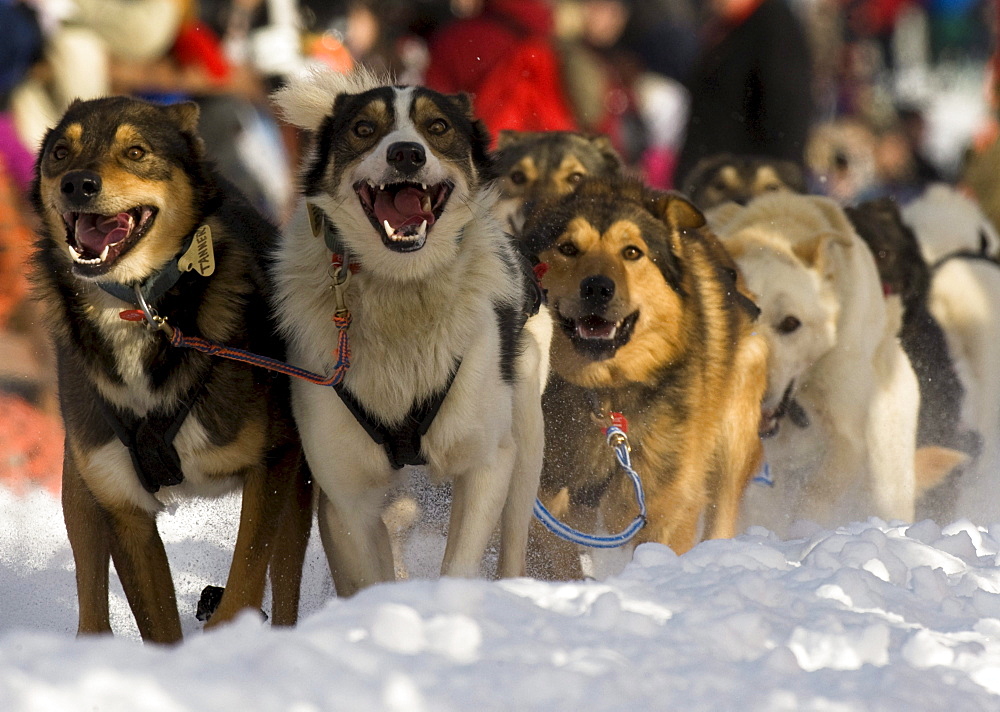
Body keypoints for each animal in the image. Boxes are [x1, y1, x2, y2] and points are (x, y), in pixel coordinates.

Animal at [31, 96, 310, 644]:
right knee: (91, 605)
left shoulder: (275, 462)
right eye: (59, 152)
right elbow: (158, 625)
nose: (77, 183)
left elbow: (244, 585)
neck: (138, 308)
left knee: (286, 587)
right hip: (81, 485)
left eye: (136, 151)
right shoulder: (124, 506)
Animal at [270, 68, 552, 596]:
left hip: (525, 434)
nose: (406, 153)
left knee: (515, 536)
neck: (403, 292)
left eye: (437, 126)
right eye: (364, 128)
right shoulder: (348, 498)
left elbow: (459, 565)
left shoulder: (486, 461)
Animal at [520, 177, 768, 580]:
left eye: (632, 252)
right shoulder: (548, 497)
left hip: (734, 427)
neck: (605, 395)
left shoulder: (668, 497)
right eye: (568, 249)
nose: (598, 287)